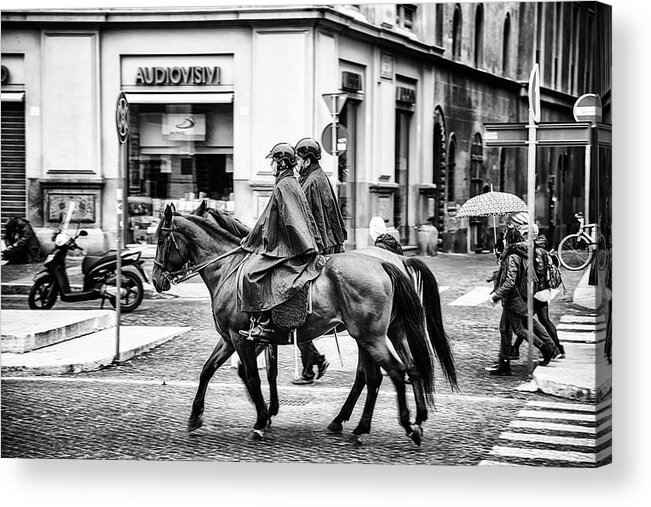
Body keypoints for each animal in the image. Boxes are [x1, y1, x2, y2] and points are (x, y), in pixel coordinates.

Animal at [153, 202, 458, 444]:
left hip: (371, 337)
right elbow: (210, 370)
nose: (156, 280)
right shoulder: (232, 339)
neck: (230, 269)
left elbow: (252, 376)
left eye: (160, 239)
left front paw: (262, 419)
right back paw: (375, 423)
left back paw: (400, 425)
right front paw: (196, 416)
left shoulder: (241, 339)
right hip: (385, 333)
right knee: (399, 370)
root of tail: (388, 263)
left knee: (391, 372)